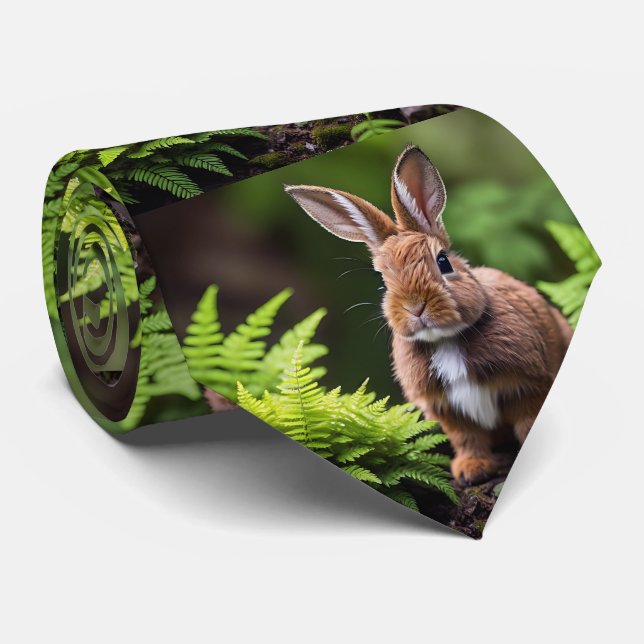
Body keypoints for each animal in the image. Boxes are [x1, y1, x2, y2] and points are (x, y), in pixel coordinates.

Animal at [285, 145, 572, 485]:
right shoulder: (448, 409)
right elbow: (467, 438)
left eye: (443, 261)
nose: (415, 307)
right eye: (384, 280)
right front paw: (471, 469)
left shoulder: (527, 387)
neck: (445, 340)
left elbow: (527, 423)